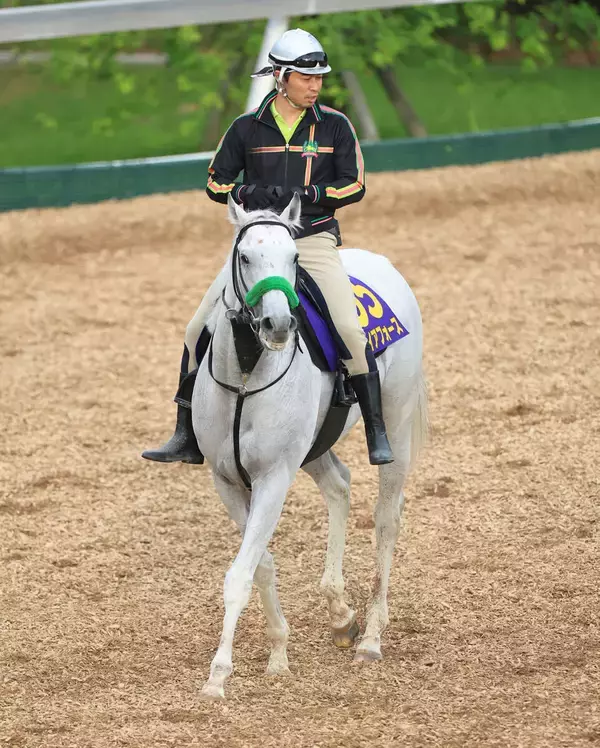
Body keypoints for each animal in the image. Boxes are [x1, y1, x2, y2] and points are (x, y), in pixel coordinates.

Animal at [192, 193, 428, 699]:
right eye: (245, 257)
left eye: (294, 258)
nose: (279, 324)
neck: (247, 373)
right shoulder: (227, 481)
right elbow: (259, 564)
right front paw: (278, 654)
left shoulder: (273, 478)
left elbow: (240, 573)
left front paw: (218, 675)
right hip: (315, 446)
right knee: (339, 485)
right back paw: (341, 615)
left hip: (396, 426)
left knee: (387, 518)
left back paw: (371, 638)